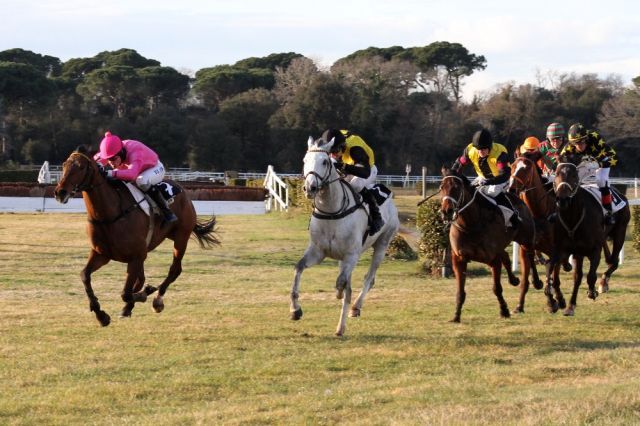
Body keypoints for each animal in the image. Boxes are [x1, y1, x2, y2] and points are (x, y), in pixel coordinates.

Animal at [53, 147, 218, 326]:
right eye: (64, 165)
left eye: (81, 167)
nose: (60, 192)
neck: (109, 215)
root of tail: (183, 192)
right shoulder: (102, 254)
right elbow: (85, 275)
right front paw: (101, 315)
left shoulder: (136, 256)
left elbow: (125, 293)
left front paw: (146, 293)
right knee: (142, 278)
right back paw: (130, 306)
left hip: (181, 237)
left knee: (174, 270)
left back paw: (157, 300)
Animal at [290, 136, 400, 336]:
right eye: (304, 160)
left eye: (325, 162)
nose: (310, 187)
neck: (332, 212)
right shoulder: (318, 252)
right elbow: (298, 268)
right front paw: (295, 310)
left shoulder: (351, 255)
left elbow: (341, 284)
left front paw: (340, 296)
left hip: (382, 245)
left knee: (369, 278)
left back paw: (355, 308)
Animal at [440, 166, 540, 322]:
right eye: (442, 187)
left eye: (456, 187)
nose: (447, 211)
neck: (471, 225)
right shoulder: (459, 259)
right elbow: (460, 291)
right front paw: (456, 316)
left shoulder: (493, 259)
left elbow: (496, 288)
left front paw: (504, 310)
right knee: (506, 255)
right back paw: (514, 280)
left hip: (526, 238)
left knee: (530, 254)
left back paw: (537, 282)